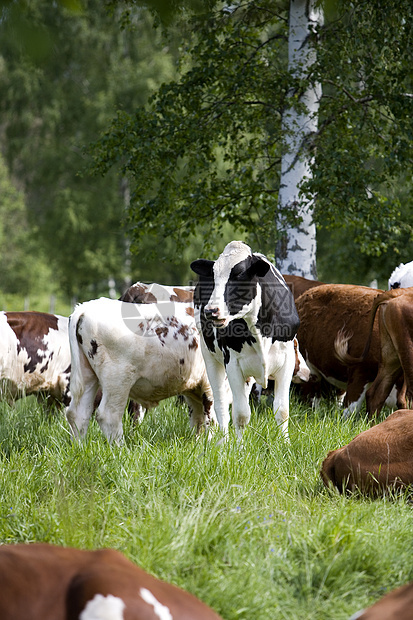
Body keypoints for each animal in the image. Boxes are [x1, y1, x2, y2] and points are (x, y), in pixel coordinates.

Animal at [190, 241, 300, 440]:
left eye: (239, 274)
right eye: (214, 275)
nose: (210, 310)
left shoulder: (287, 360)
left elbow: (282, 410)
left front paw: (285, 443)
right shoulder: (232, 363)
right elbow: (241, 414)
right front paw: (239, 447)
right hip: (209, 356)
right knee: (221, 404)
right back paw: (223, 441)